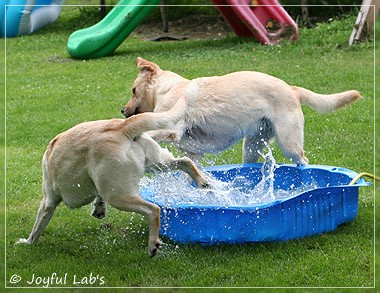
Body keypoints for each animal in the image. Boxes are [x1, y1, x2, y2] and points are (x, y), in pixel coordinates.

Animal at [16, 94, 209, 256]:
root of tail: (123, 127)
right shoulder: (97, 182)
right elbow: (97, 196)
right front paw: (98, 208)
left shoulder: (48, 201)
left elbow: (38, 226)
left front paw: (27, 242)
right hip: (155, 163)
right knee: (185, 161)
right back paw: (202, 182)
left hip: (117, 194)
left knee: (153, 209)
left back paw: (152, 245)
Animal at [121, 56, 362, 164]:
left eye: (133, 90)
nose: (122, 110)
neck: (168, 88)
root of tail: (291, 88)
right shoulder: (194, 153)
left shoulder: (171, 128)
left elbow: (149, 131)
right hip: (252, 146)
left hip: (289, 143)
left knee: (303, 160)